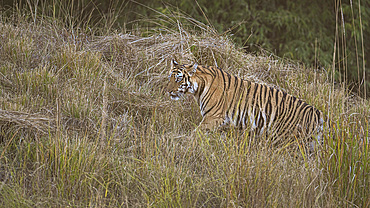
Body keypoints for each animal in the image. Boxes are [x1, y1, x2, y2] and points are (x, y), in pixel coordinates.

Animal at [166, 59, 326, 149]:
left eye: (178, 79)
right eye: (170, 78)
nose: (168, 91)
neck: (198, 88)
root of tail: (318, 114)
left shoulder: (213, 117)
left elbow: (195, 133)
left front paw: (183, 142)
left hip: (289, 140)